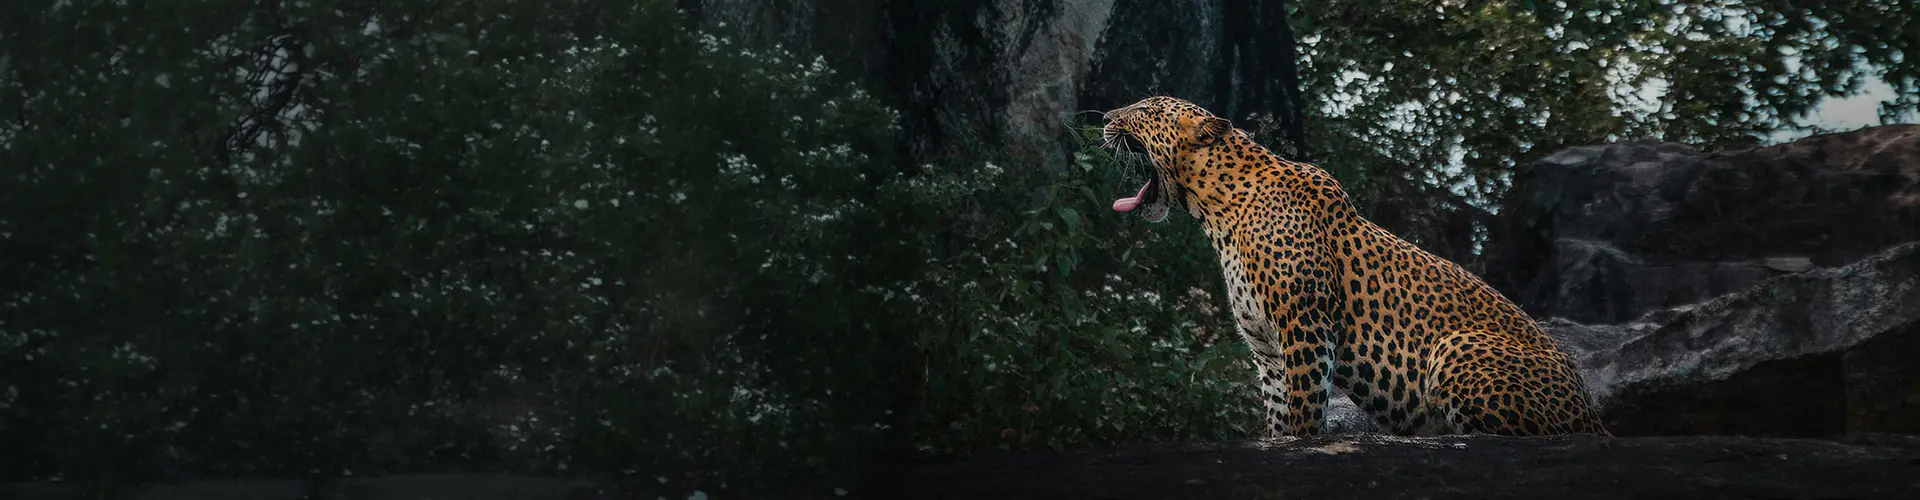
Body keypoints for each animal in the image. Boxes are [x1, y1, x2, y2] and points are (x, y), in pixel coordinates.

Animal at [1098, 96, 1609, 437]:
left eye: (1144, 108)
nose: (1103, 118)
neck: (1218, 212)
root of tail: (1592, 413)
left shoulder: (1304, 324)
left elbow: (1305, 407)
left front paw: (1306, 441)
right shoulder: (1266, 347)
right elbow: (1278, 412)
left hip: (1455, 346)